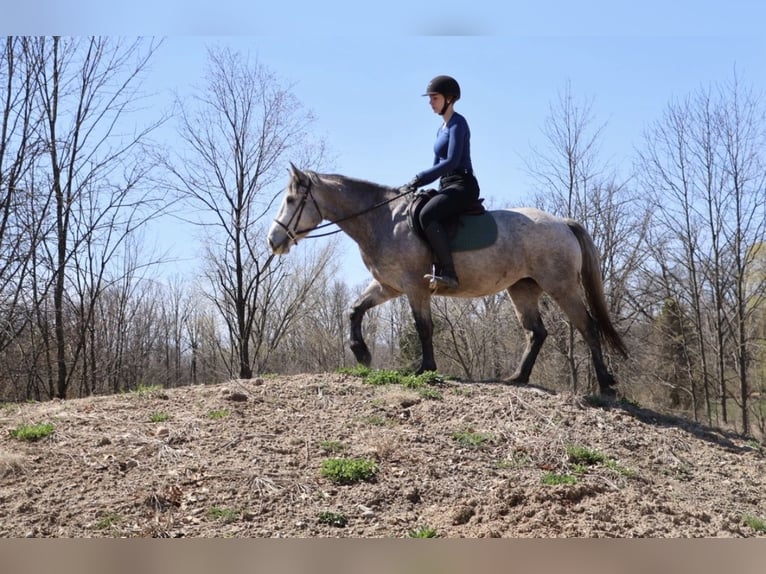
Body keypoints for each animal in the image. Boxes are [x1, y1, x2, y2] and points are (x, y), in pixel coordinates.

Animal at [267, 164, 627, 396]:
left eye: (290, 200)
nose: (273, 241)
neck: (383, 219)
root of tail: (563, 222)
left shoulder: (414, 286)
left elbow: (423, 326)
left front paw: (425, 368)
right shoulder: (389, 286)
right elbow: (354, 310)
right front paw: (361, 353)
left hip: (561, 286)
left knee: (587, 326)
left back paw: (605, 383)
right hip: (521, 288)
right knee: (536, 332)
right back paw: (517, 377)